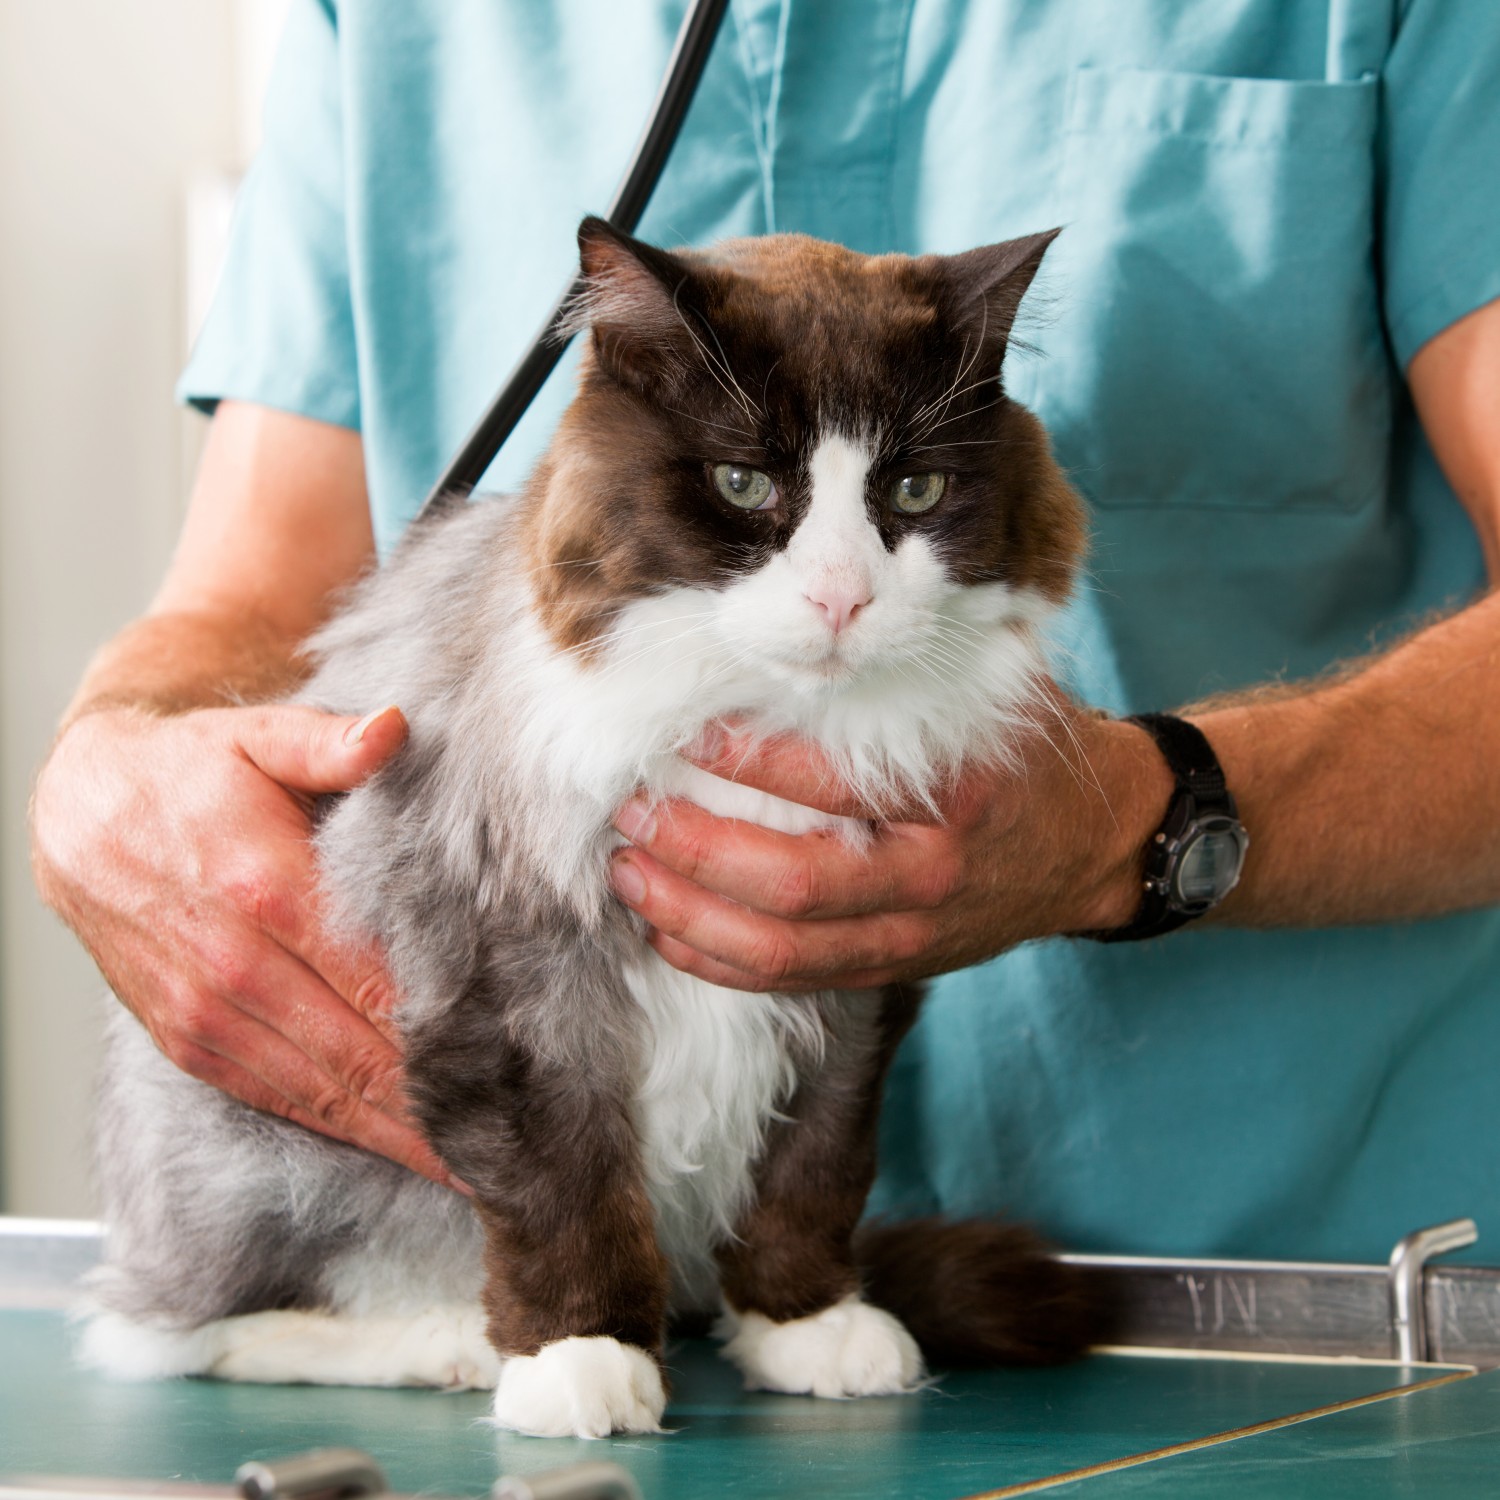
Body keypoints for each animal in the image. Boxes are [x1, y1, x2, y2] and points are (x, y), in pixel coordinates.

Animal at [82, 214, 1098, 1440]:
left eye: (912, 491)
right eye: (741, 483)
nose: (841, 598)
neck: (761, 720)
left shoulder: (852, 982)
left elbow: (811, 1171)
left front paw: (804, 1323)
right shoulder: (516, 982)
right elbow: (565, 1190)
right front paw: (582, 1360)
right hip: (265, 1161)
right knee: (170, 1332)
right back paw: (444, 1344)